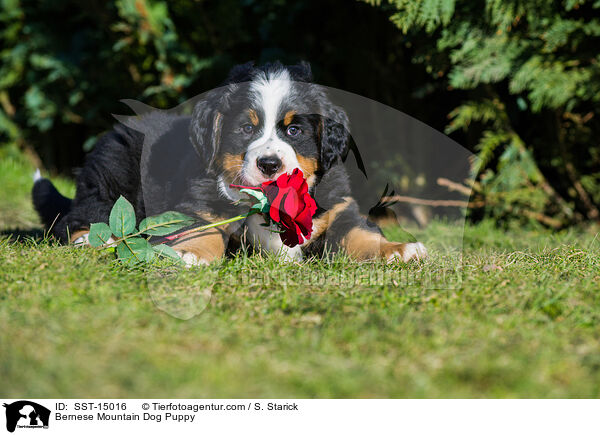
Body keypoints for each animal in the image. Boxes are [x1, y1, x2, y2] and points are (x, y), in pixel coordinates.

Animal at [32, 61, 426, 266]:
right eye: (246, 128)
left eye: (294, 130)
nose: (269, 164)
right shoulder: (198, 204)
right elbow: (202, 230)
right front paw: (188, 254)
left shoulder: (338, 210)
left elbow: (360, 234)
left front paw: (400, 250)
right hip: (112, 176)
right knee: (77, 218)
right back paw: (96, 239)